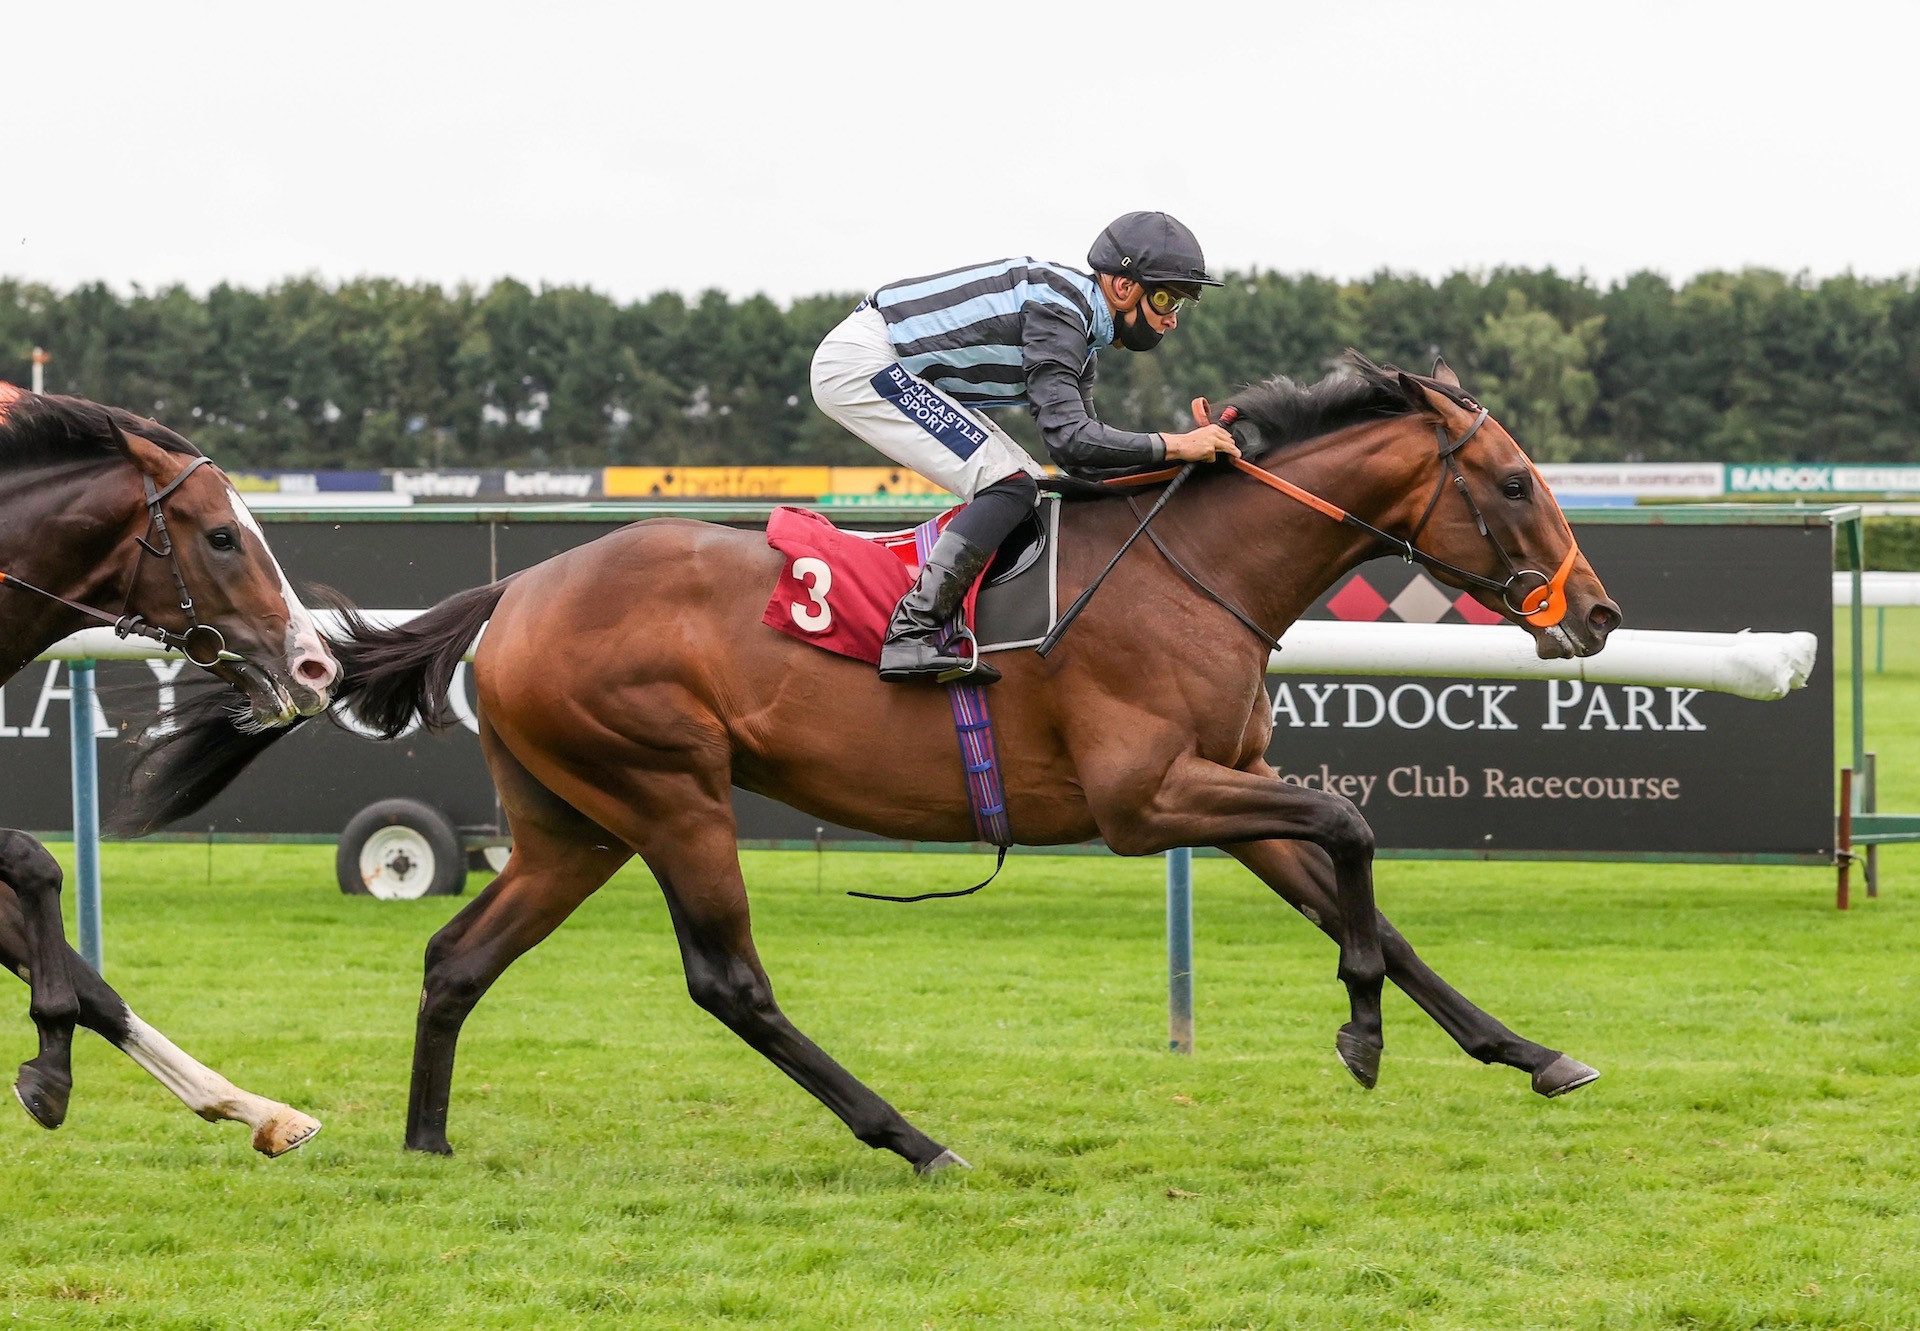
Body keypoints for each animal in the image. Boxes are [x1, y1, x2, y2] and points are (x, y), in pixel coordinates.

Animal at [0, 376, 337, 1152]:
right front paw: (51, 1055)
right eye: (221, 536)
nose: (318, 665)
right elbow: (36, 860)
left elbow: (89, 978)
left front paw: (255, 1108)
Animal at [120, 355, 1620, 1175]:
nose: (1598, 613)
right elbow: (1355, 823)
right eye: (1513, 482)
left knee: (456, 957)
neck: (1194, 569)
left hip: (573, 823)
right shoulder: (1147, 799)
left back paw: (428, 1141)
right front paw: (1361, 1033)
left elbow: (1366, 895)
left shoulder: (1223, 792)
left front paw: (1532, 1050)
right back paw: (913, 1136)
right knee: (729, 980)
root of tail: (518, 587)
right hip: (670, 789)